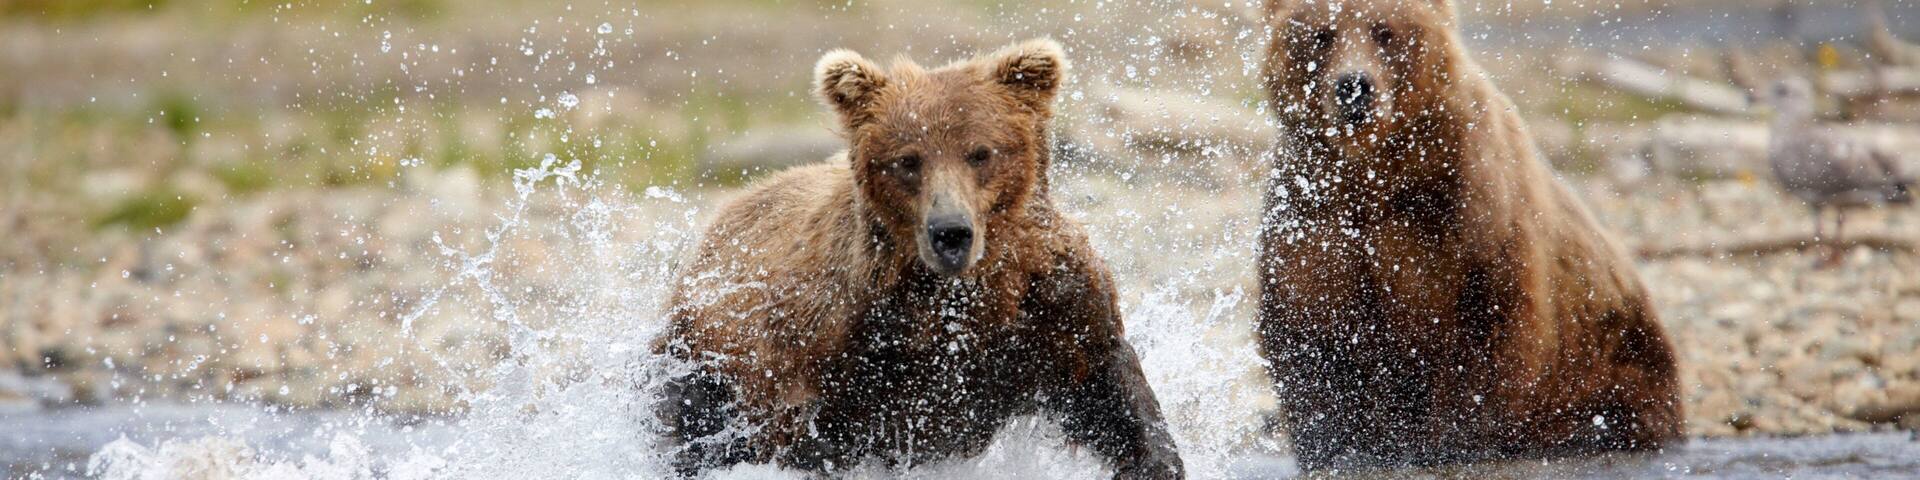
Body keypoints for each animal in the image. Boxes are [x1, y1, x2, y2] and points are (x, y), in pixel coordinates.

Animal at [654, 39, 1184, 479]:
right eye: (908, 160)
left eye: (980, 152)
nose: (950, 232)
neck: (962, 296)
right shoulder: (845, 346)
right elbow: (820, 438)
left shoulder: (1051, 306)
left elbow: (1111, 393)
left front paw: (1153, 459)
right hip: (702, 357)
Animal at [1252, 0, 1683, 470]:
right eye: (1322, 34)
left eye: (1384, 31)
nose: (1353, 87)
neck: (1380, 175)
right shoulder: (1316, 220)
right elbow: (1312, 327)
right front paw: (1337, 443)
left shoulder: (1469, 214)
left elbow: (1484, 331)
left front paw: (1452, 440)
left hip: (1613, 365)